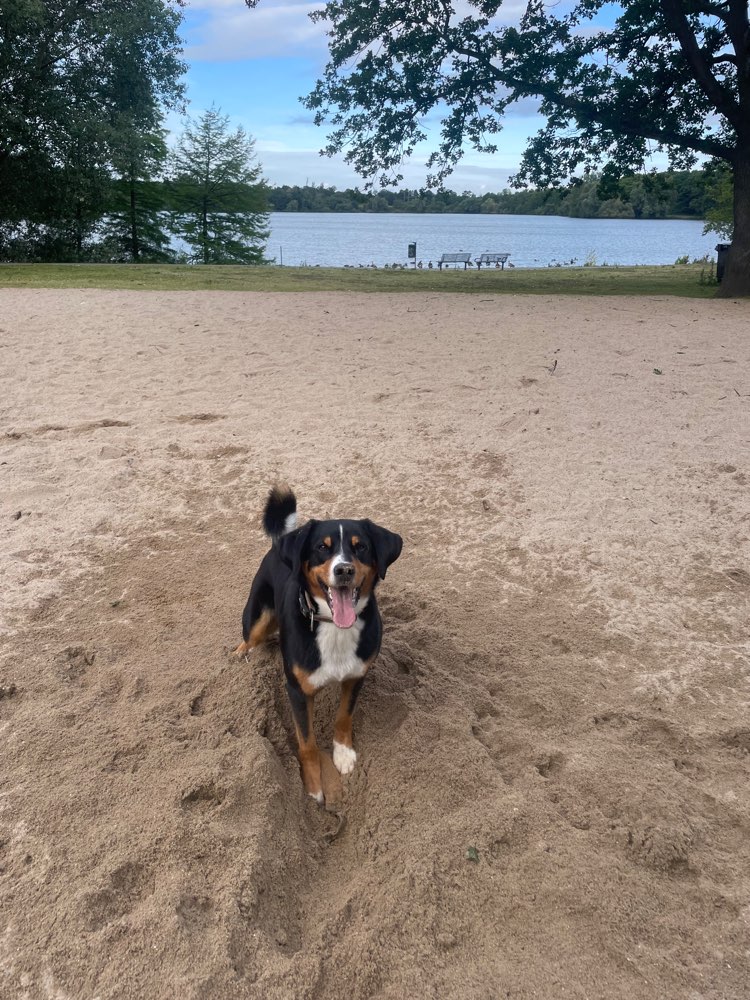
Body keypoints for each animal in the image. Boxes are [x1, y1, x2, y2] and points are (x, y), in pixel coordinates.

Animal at [235, 486, 402, 804]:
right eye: (322, 548)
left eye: (361, 547)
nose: (344, 570)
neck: (334, 627)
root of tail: (280, 542)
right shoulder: (298, 691)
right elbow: (307, 743)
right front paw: (313, 784)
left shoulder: (356, 675)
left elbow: (344, 716)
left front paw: (343, 753)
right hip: (257, 617)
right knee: (249, 638)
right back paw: (242, 655)